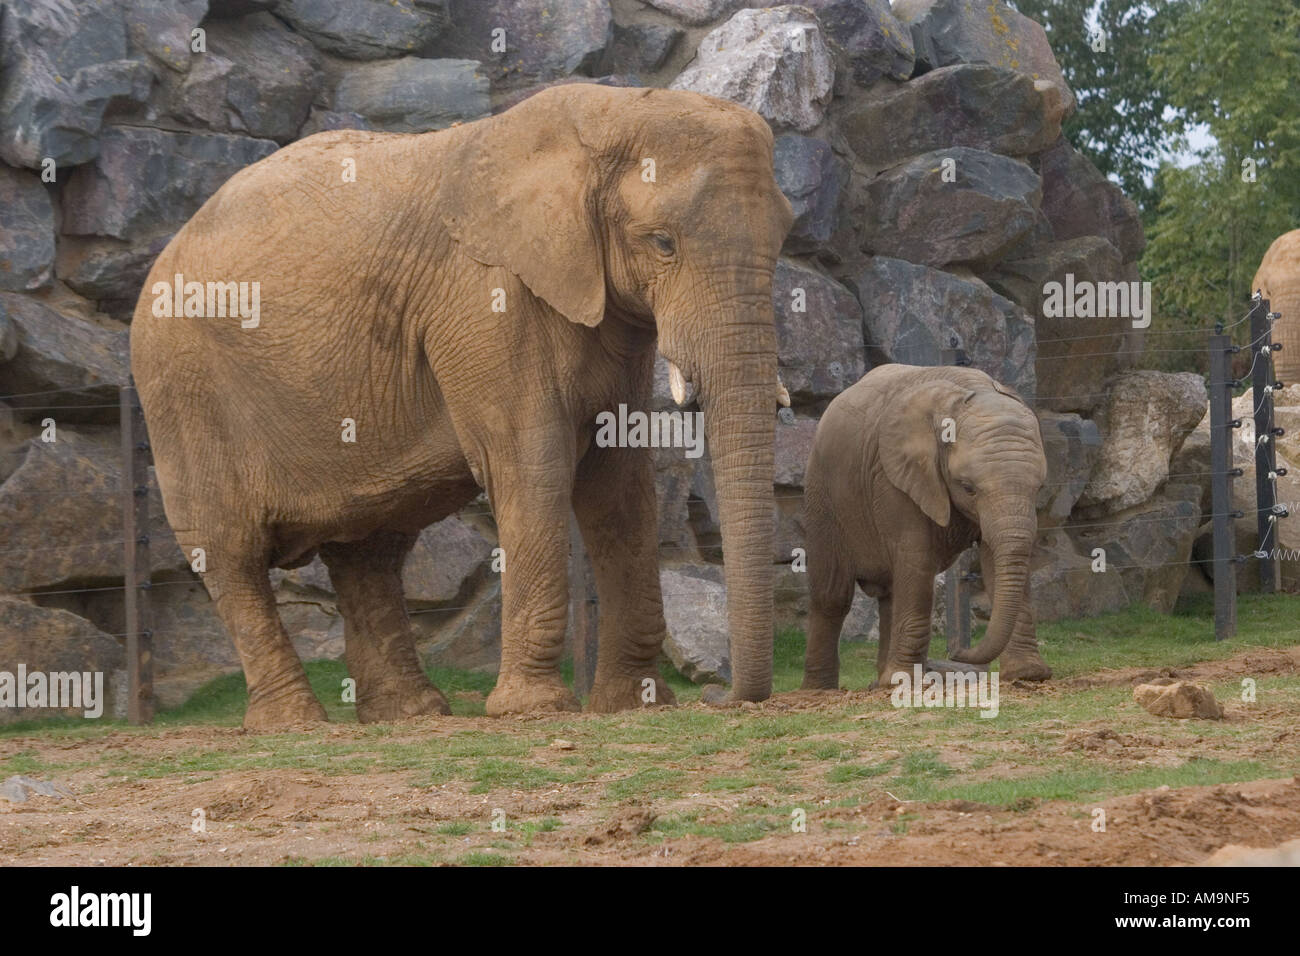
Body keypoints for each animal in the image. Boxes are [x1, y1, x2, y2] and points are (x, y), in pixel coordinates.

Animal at [130, 85, 794, 730]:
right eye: (663, 243)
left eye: (781, 243)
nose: (724, 697)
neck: (610, 109)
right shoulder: (485, 301)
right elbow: (531, 465)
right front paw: (532, 710)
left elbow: (620, 480)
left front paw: (633, 705)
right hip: (180, 389)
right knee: (230, 552)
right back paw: (295, 724)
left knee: (368, 549)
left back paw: (411, 714)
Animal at [799, 364, 1051, 692]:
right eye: (968, 487)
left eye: (1039, 487)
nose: (957, 653)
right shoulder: (892, 475)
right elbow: (915, 557)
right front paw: (906, 681)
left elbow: (995, 560)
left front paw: (1027, 674)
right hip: (822, 493)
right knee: (832, 595)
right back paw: (821, 690)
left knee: (891, 592)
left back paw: (883, 682)